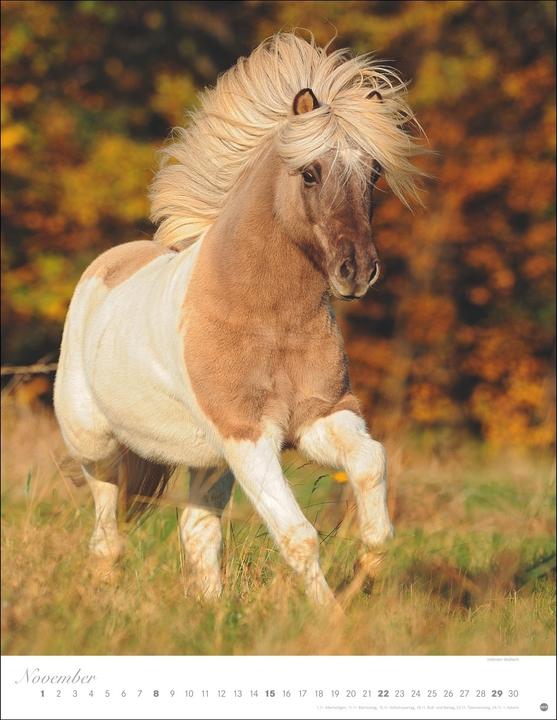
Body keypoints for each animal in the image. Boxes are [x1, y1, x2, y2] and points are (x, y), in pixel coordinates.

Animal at [54, 32, 423, 606]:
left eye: (374, 174)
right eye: (310, 172)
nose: (357, 271)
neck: (270, 321)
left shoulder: (320, 419)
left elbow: (372, 472)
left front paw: (362, 578)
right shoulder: (247, 436)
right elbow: (298, 536)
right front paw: (330, 618)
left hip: (206, 460)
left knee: (196, 530)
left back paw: (210, 610)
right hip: (99, 448)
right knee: (106, 536)